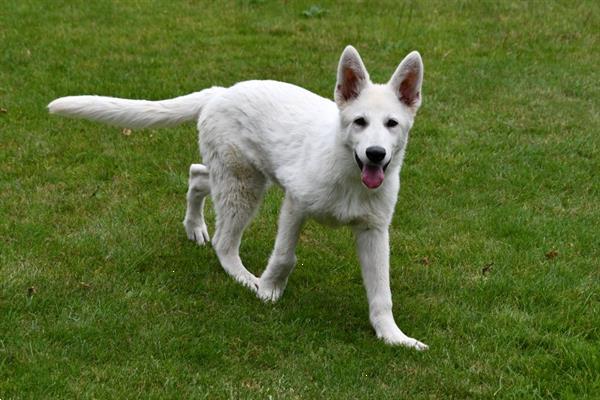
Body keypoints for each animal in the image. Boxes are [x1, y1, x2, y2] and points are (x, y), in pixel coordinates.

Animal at [50, 45, 426, 348]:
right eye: (359, 122)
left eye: (392, 123)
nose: (375, 154)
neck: (348, 171)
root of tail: (220, 92)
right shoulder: (296, 204)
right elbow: (285, 256)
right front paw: (269, 292)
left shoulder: (373, 230)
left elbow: (381, 292)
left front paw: (393, 336)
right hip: (244, 185)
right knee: (224, 242)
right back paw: (245, 277)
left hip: (240, 178)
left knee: (197, 175)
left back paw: (195, 227)